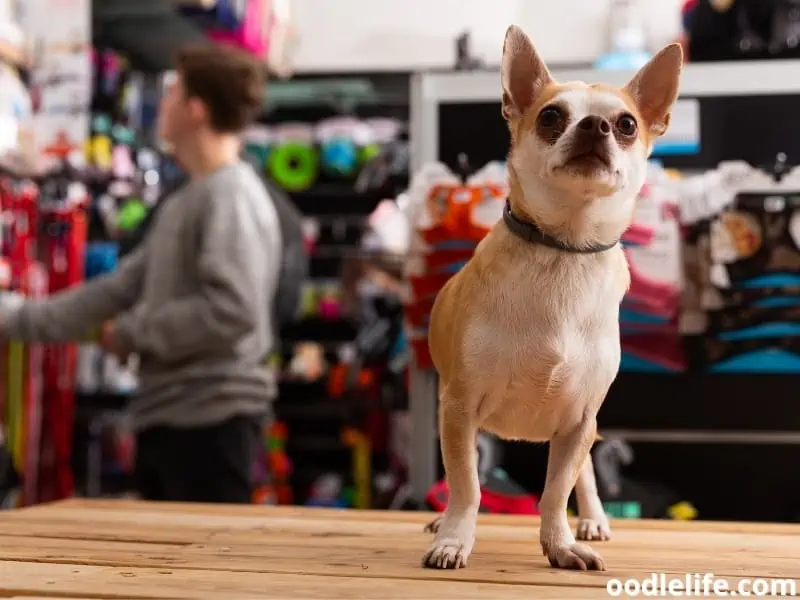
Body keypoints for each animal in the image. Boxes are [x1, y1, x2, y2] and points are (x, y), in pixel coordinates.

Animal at [418, 25, 680, 572]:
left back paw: (593, 519)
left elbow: (557, 490)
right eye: (551, 117)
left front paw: (560, 544)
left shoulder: (580, 422)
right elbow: (467, 485)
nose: (596, 125)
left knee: (585, 475)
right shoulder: (459, 409)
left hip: (584, 427)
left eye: (627, 125)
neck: (565, 252)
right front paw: (453, 538)